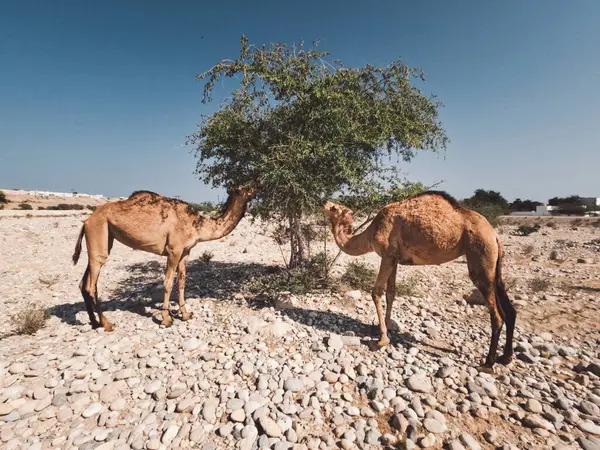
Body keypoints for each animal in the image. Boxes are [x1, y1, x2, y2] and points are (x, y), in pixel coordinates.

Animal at [72, 186, 255, 330]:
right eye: (244, 189)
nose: (256, 186)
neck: (198, 225)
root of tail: (86, 221)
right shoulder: (174, 250)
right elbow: (168, 283)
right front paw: (166, 319)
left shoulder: (186, 252)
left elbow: (181, 282)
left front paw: (186, 314)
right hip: (98, 232)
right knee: (91, 285)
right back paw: (107, 324)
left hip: (103, 239)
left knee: (84, 283)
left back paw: (94, 322)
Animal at [324, 192, 516, 370]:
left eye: (334, 208)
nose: (324, 202)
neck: (372, 232)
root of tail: (494, 235)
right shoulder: (394, 258)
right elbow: (391, 293)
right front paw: (386, 328)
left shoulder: (387, 255)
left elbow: (376, 291)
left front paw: (382, 339)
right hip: (494, 264)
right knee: (509, 308)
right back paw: (505, 358)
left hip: (480, 254)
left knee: (497, 314)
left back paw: (488, 363)